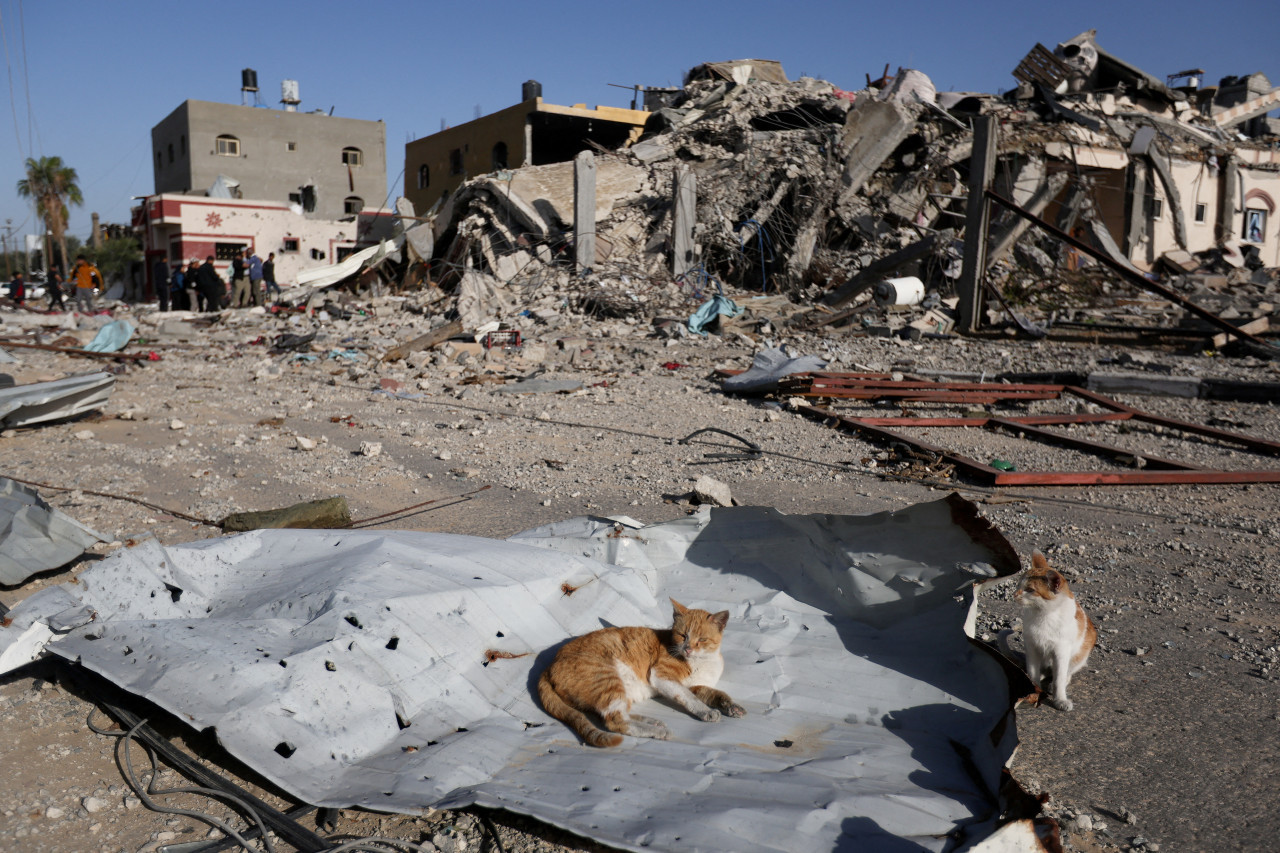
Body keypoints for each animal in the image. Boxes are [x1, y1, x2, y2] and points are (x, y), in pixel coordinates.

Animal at [535, 596, 747, 742]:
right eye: (682, 635)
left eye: (701, 639)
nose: (687, 648)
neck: (703, 661)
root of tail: (548, 665)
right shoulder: (662, 676)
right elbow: (688, 698)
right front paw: (706, 712)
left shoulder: (696, 685)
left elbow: (716, 694)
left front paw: (732, 706)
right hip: (607, 680)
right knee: (615, 721)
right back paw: (658, 730)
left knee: (615, 714)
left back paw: (651, 721)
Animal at [1013, 548, 1095, 706]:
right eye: (1019, 585)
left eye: (1030, 589)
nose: (1014, 594)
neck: (1043, 615)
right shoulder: (1032, 647)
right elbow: (1033, 673)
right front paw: (1034, 691)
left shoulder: (1061, 652)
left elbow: (1059, 679)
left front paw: (1060, 699)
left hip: (1080, 655)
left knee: (1065, 673)